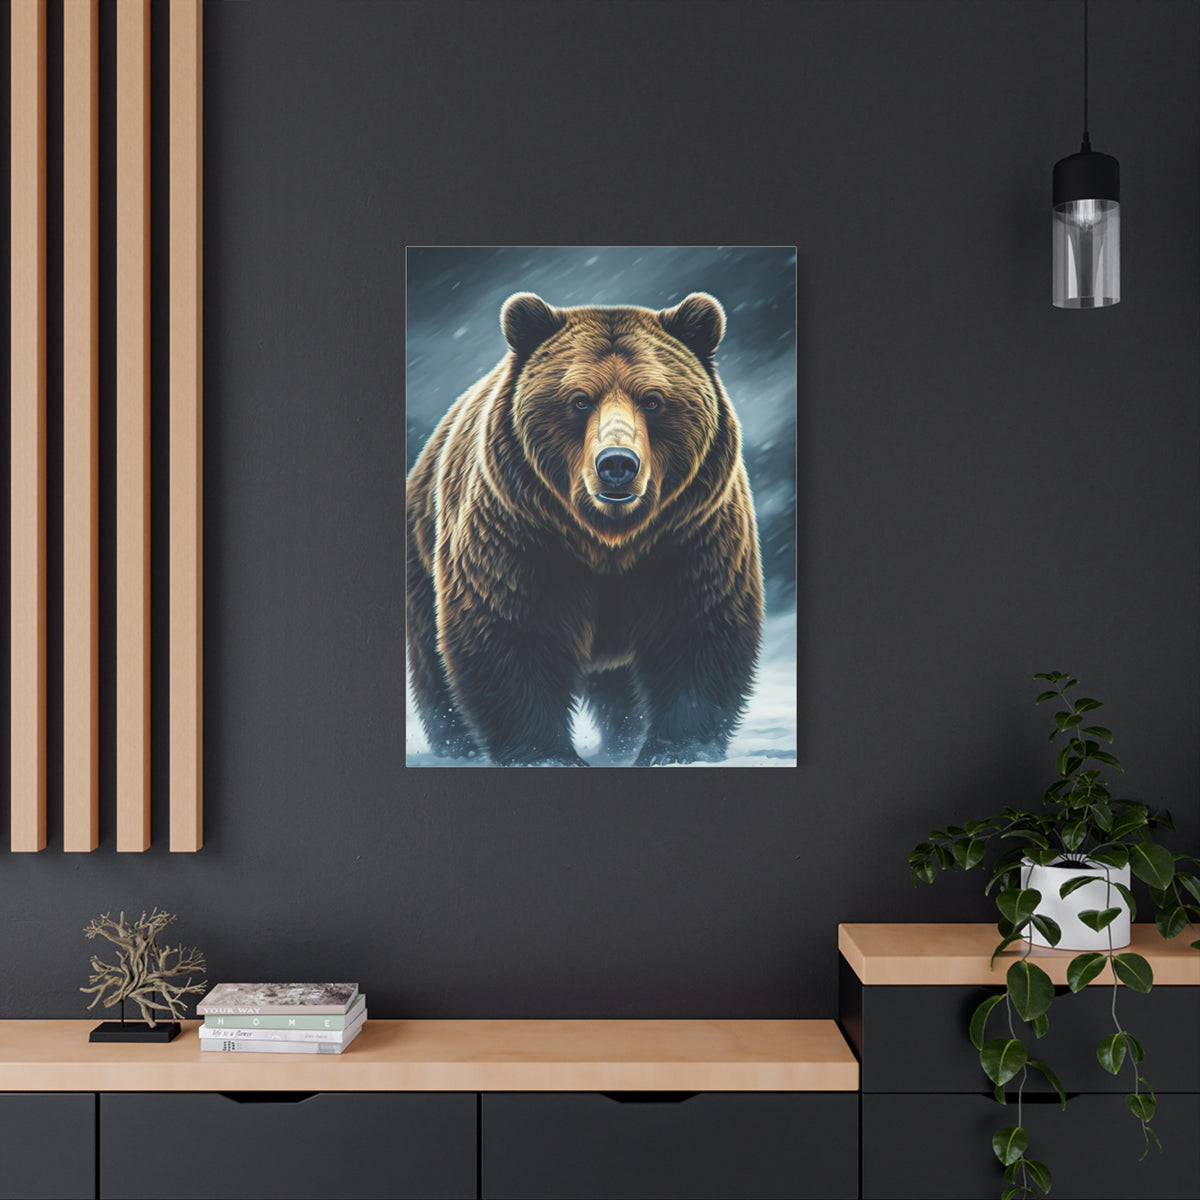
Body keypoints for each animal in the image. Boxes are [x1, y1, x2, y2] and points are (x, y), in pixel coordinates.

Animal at [406, 291, 763, 766]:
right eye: (579, 399)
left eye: (653, 400)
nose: (617, 463)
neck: (608, 539)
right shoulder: (519, 533)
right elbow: (511, 628)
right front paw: (544, 753)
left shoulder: (690, 535)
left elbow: (698, 627)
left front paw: (679, 749)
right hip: (423, 551)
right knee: (434, 664)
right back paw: (457, 747)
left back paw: (622, 741)